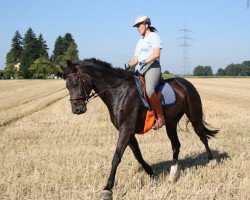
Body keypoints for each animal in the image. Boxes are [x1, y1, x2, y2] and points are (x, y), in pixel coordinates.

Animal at [63, 57, 218, 198]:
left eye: (75, 83)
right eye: (67, 86)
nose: (77, 109)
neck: (119, 91)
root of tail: (185, 83)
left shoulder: (126, 130)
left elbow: (116, 157)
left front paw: (107, 188)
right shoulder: (128, 131)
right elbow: (137, 154)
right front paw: (150, 172)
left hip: (194, 116)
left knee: (202, 136)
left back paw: (212, 162)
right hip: (171, 123)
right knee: (176, 145)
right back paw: (173, 175)